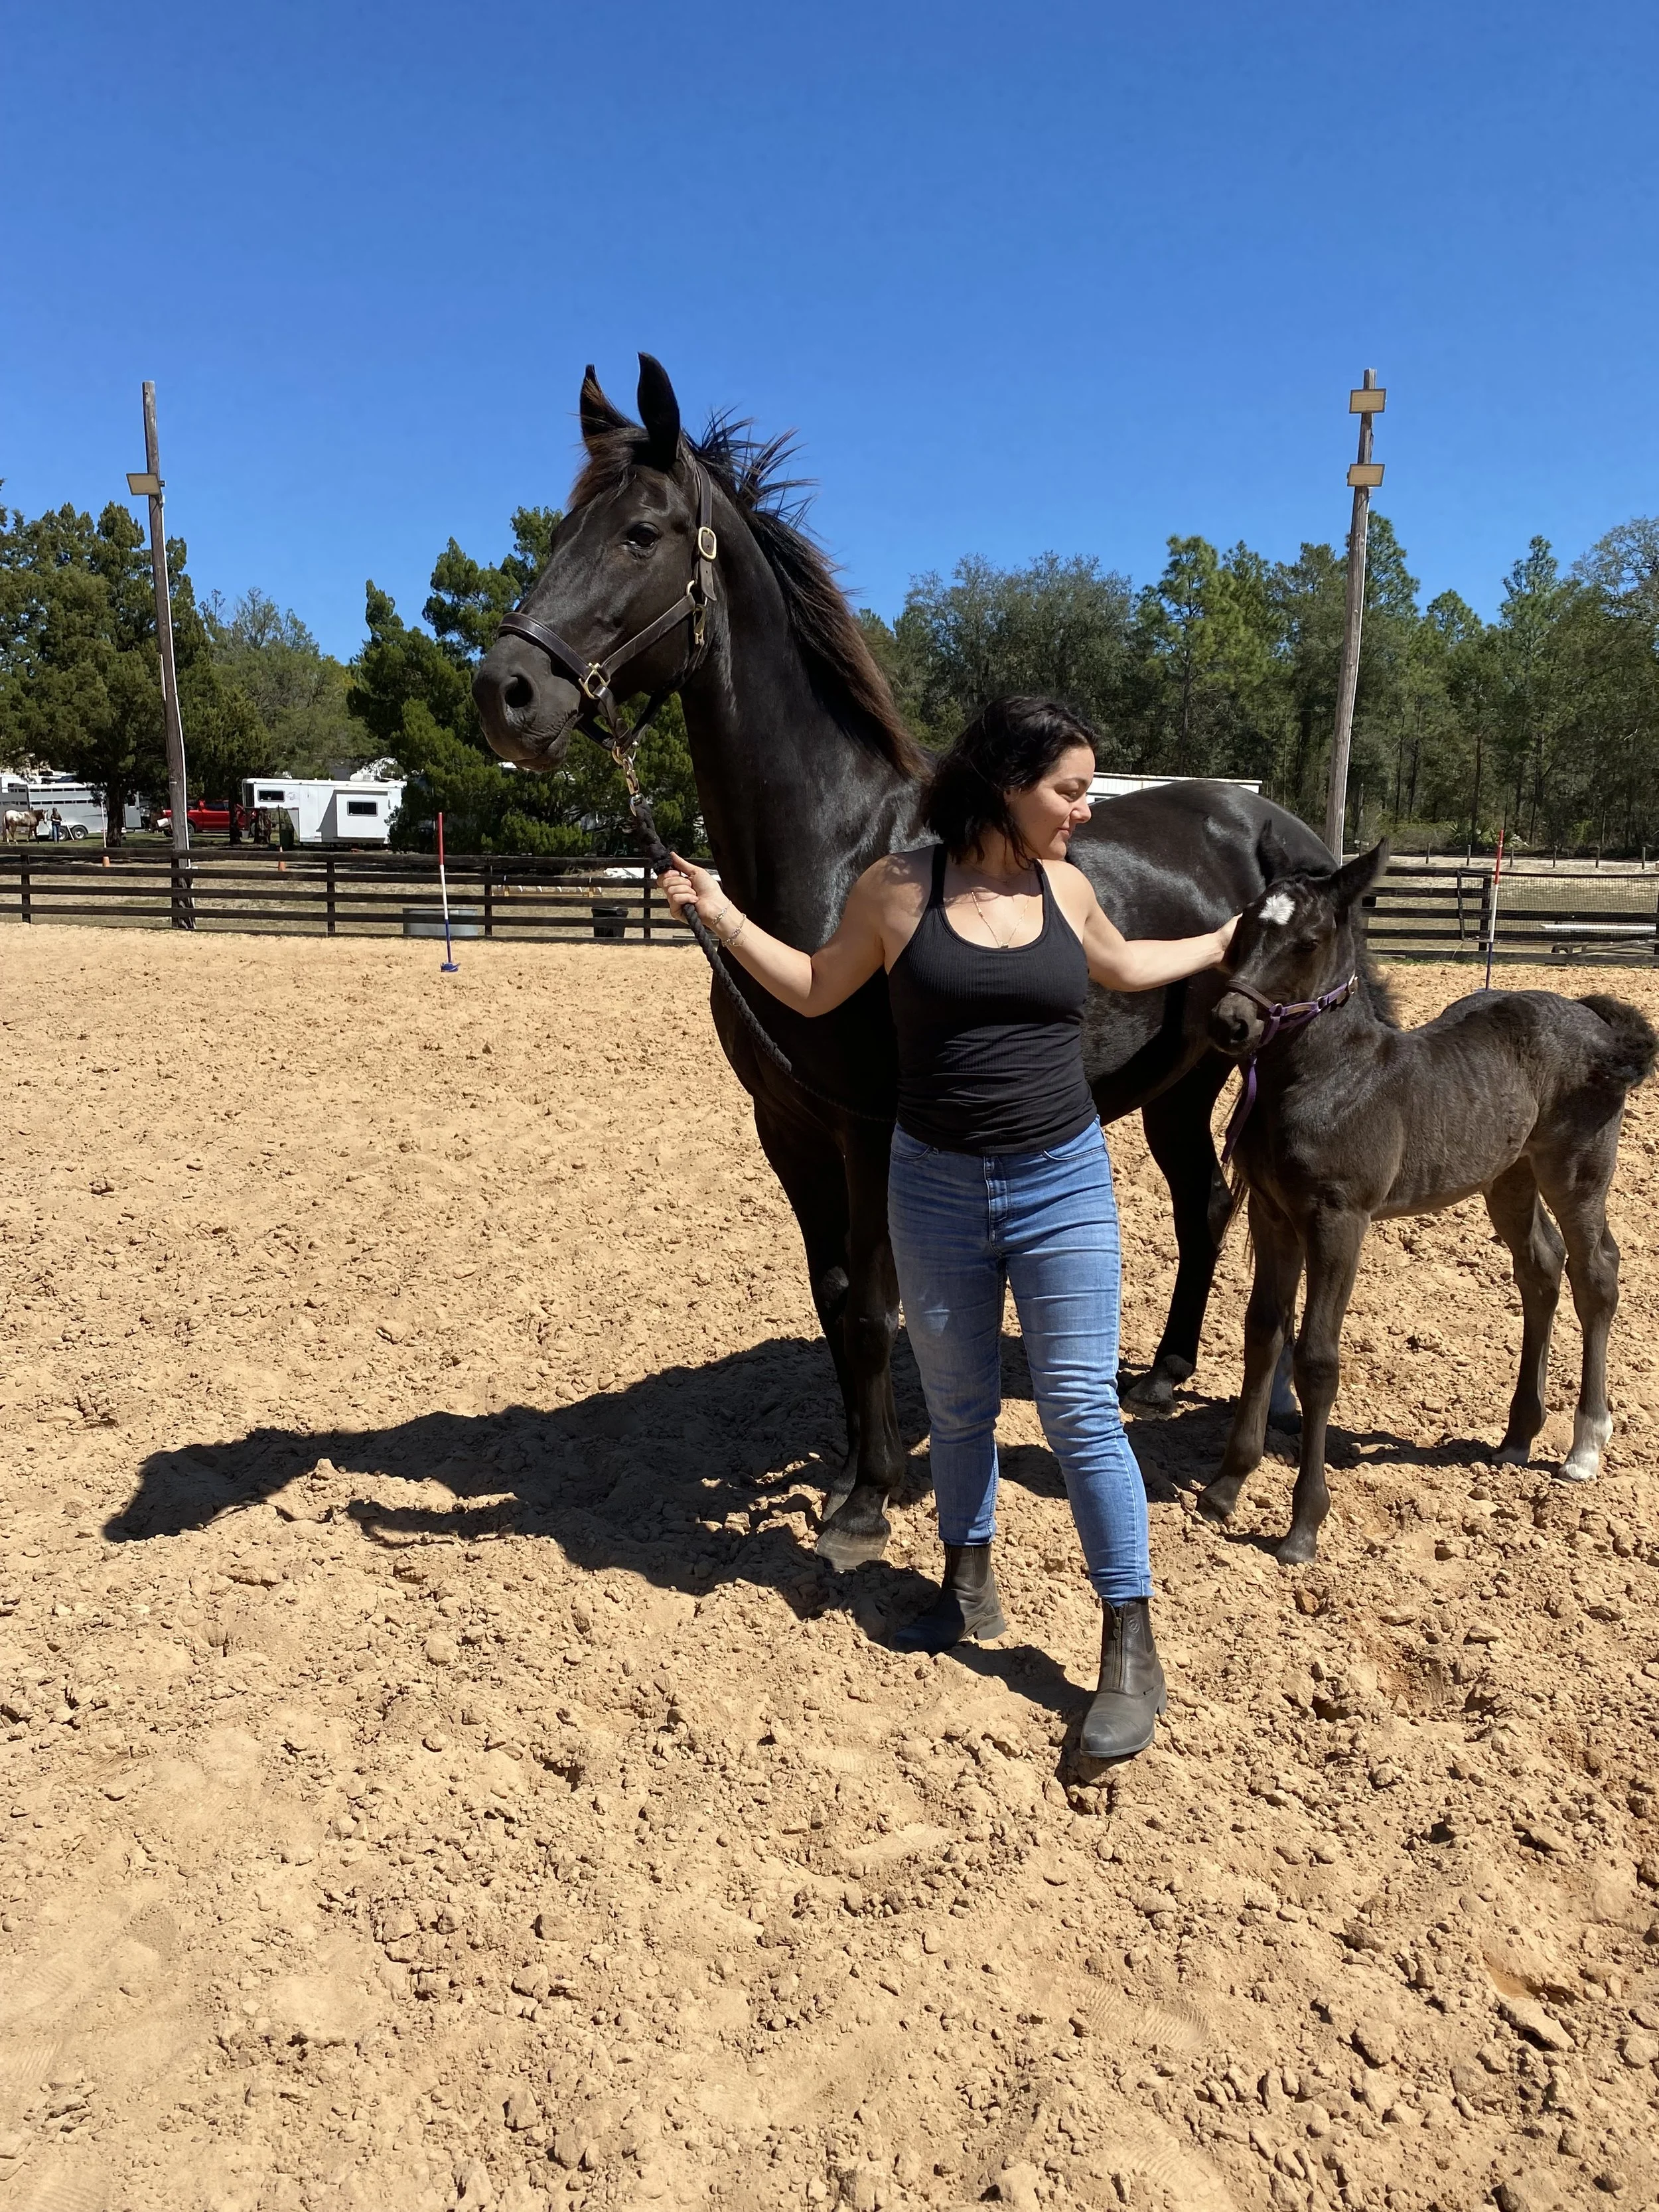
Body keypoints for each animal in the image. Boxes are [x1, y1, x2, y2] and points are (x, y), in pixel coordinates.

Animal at [472, 354, 1333, 1570]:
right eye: (559, 531)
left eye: (640, 533)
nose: (505, 693)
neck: (836, 857)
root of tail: (1276, 826)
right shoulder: (787, 1124)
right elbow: (837, 1297)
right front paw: (847, 1469)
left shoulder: (870, 1125)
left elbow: (879, 1307)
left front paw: (870, 1501)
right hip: (1181, 1081)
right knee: (1206, 1203)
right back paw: (1162, 1376)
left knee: (1220, 1211)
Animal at [1197, 841, 1657, 1565]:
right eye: (1243, 926)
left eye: (1308, 941)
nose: (1229, 1022)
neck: (1329, 1076)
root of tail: (1595, 1021)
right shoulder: (1273, 1214)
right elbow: (1263, 1334)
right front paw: (1225, 1486)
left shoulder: (1339, 1220)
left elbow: (1318, 1358)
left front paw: (1303, 1526)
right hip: (1509, 1176)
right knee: (1541, 1268)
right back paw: (1517, 1437)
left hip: (1578, 1170)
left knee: (1596, 1273)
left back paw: (1584, 1446)